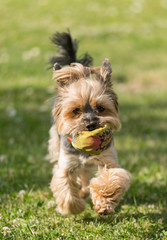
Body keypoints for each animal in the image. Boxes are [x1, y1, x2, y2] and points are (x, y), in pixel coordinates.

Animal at [48, 31, 130, 217]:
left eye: (100, 108)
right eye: (75, 110)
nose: (91, 124)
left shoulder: (108, 159)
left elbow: (111, 178)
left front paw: (104, 205)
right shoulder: (67, 163)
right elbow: (65, 185)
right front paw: (75, 207)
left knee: (85, 175)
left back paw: (85, 191)